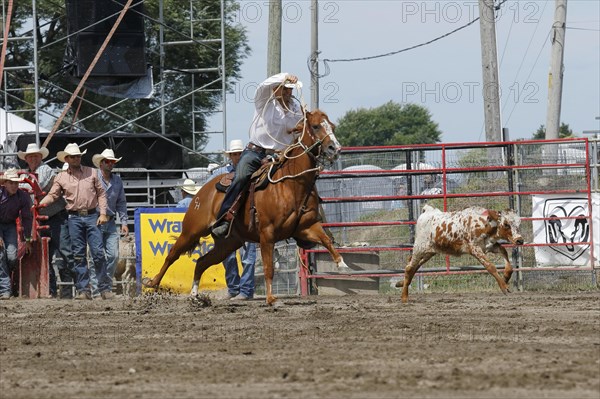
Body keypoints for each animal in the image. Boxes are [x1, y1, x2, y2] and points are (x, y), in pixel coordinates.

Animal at [144, 109, 346, 304]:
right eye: (316, 126)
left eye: (333, 126)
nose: (334, 148)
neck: (291, 183)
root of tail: (202, 192)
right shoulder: (267, 233)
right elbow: (268, 267)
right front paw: (271, 298)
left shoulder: (306, 226)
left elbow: (326, 240)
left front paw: (341, 264)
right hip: (192, 231)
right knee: (173, 254)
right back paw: (152, 283)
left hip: (228, 243)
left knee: (201, 262)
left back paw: (195, 297)